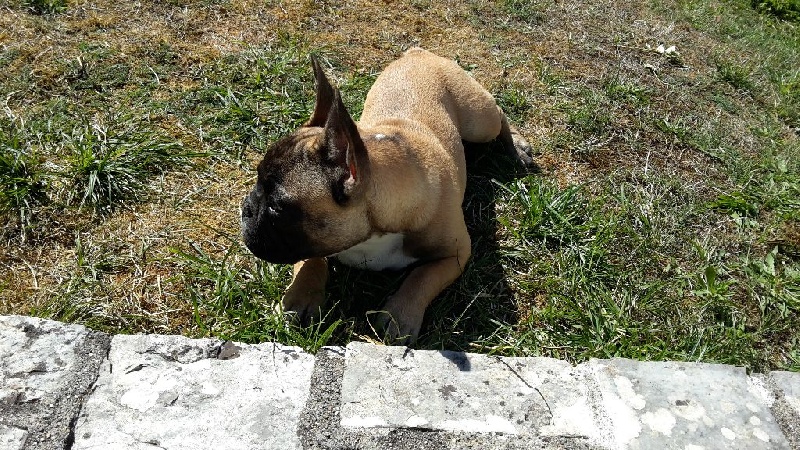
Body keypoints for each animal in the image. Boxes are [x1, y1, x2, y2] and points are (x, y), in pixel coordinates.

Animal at [241, 48, 532, 344]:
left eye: (277, 208)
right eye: (257, 180)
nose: (247, 207)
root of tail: (418, 53)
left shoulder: (456, 254)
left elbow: (421, 277)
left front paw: (400, 316)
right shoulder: (311, 244)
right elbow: (310, 258)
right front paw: (300, 297)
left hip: (480, 123)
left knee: (498, 115)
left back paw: (518, 146)